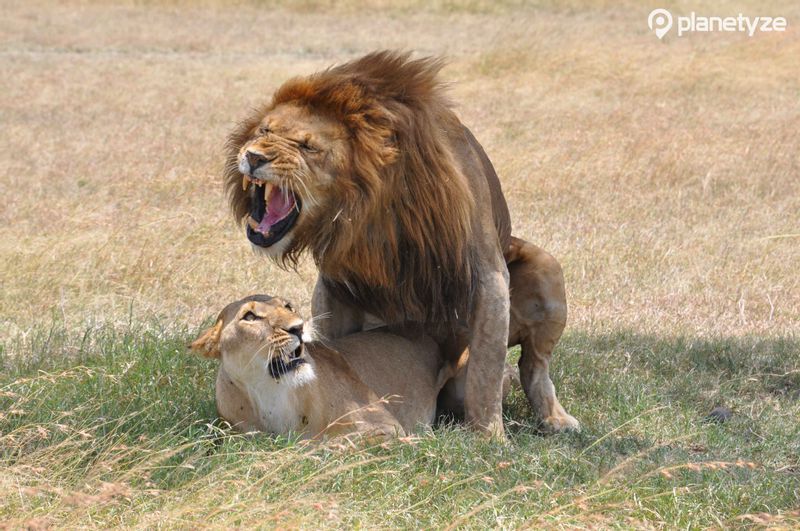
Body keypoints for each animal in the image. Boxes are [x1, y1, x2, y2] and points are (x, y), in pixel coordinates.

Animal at [225, 52, 576, 438]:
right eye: (264, 131)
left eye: (307, 146)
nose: (254, 157)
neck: (371, 204)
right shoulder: (338, 284)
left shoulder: (487, 273)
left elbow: (486, 369)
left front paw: (490, 437)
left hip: (546, 266)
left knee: (532, 364)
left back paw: (556, 418)